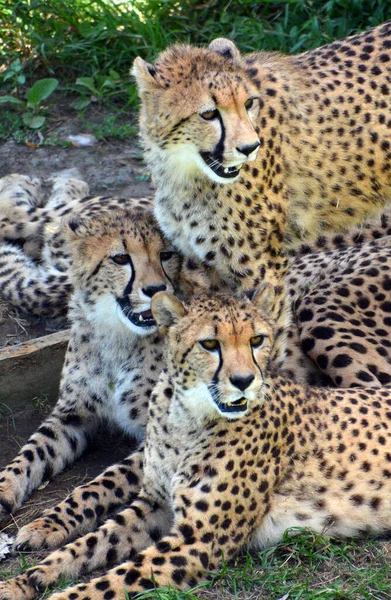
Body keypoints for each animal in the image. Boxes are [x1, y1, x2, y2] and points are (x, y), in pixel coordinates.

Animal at [0, 197, 181, 528]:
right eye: (121, 258)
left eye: (166, 254)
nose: (155, 289)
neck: (119, 336)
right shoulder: (72, 413)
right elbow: (32, 451)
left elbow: (100, 485)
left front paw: (49, 525)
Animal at [2, 290, 391, 600]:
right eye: (209, 344)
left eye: (257, 340)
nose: (244, 381)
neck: (186, 418)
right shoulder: (154, 504)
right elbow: (90, 543)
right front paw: (25, 581)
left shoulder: (198, 540)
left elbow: (112, 580)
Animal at [133, 21, 391, 360]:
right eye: (208, 113)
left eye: (248, 103)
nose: (250, 147)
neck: (187, 172)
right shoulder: (204, 270)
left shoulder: (261, 268)